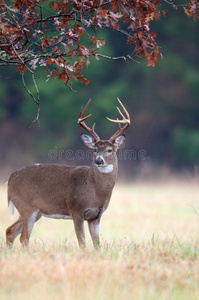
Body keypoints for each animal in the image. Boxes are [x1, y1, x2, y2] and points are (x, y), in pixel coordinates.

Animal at [5, 98, 131, 248]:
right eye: (94, 149)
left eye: (110, 150)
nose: (99, 160)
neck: (94, 189)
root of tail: (10, 178)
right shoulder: (76, 210)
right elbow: (82, 243)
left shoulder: (96, 216)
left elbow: (97, 244)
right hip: (26, 207)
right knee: (23, 238)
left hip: (35, 211)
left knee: (10, 231)